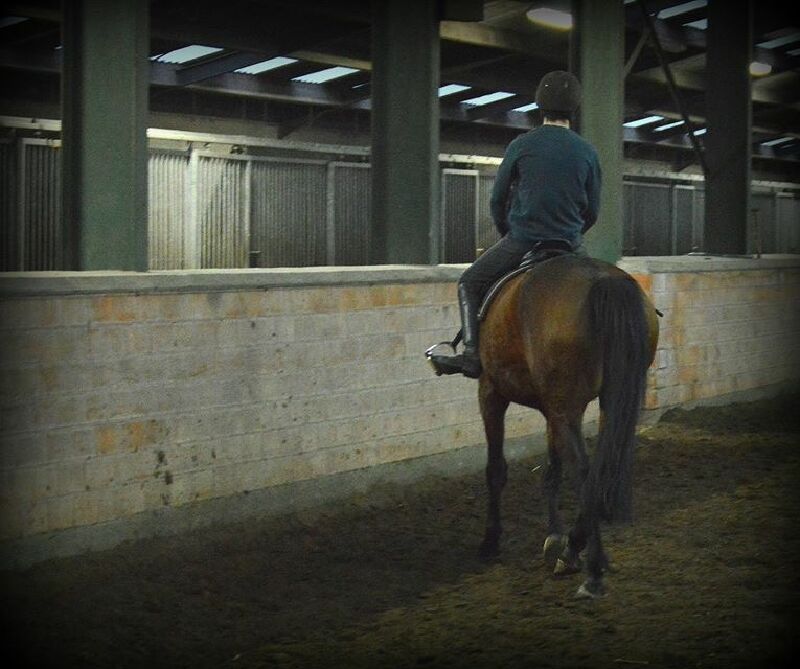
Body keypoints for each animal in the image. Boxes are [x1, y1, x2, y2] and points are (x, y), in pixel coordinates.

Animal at [476, 253, 656, 596]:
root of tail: (604, 280)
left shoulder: (491, 391)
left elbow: (496, 470)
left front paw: (490, 539)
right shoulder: (552, 408)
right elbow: (552, 471)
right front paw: (554, 536)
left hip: (564, 407)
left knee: (584, 471)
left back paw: (591, 570)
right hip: (603, 400)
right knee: (600, 468)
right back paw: (576, 550)